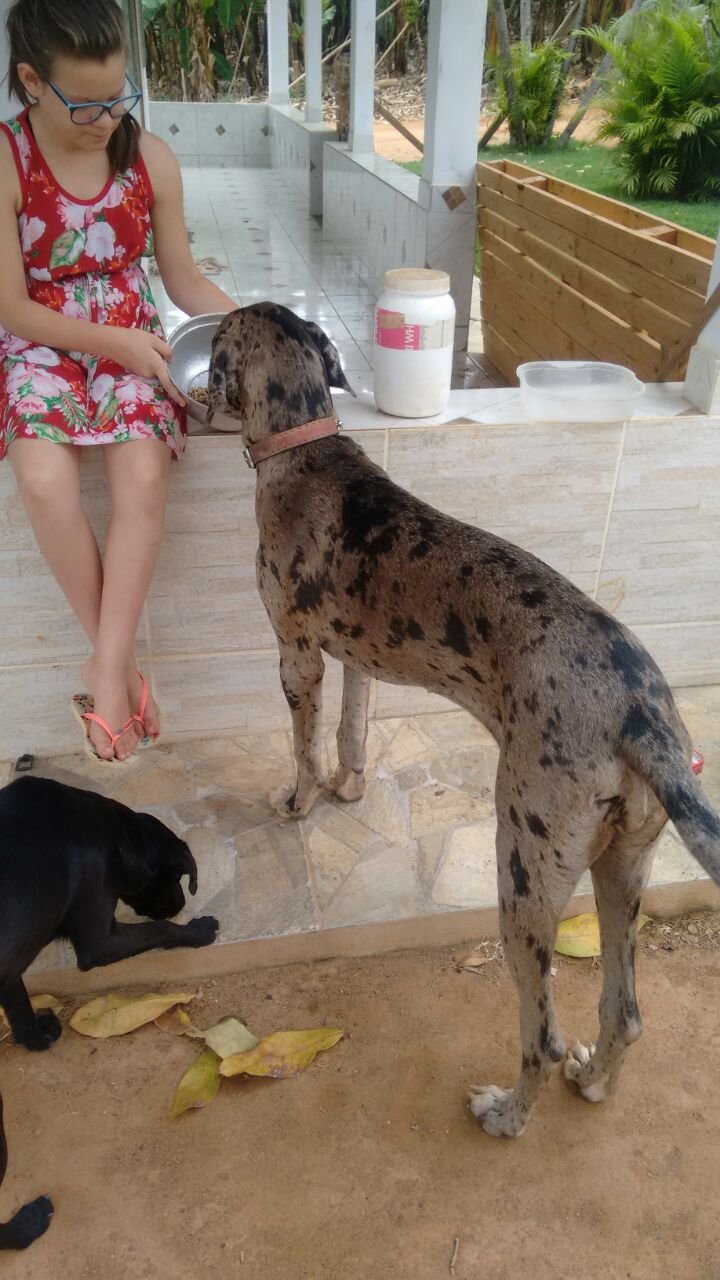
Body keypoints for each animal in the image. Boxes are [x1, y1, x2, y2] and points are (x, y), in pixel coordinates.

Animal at [0, 768, 219, 1049]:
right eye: (176, 878)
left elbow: (17, 998)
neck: (119, 839)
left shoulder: (14, 957)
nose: (180, 904)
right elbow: (162, 928)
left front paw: (34, 1037)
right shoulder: (100, 944)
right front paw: (200, 930)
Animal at [206, 302, 717, 1141]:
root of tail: (642, 714)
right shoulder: (358, 659)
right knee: (625, 1012)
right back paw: (594, 1084)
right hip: (624, 866)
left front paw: (301, 800)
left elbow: (304, 745)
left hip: (525, 872)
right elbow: (351, 732)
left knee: (542, 1036)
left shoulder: (298, 654)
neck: (305, 446)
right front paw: (349, 787)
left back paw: (506, 1115)